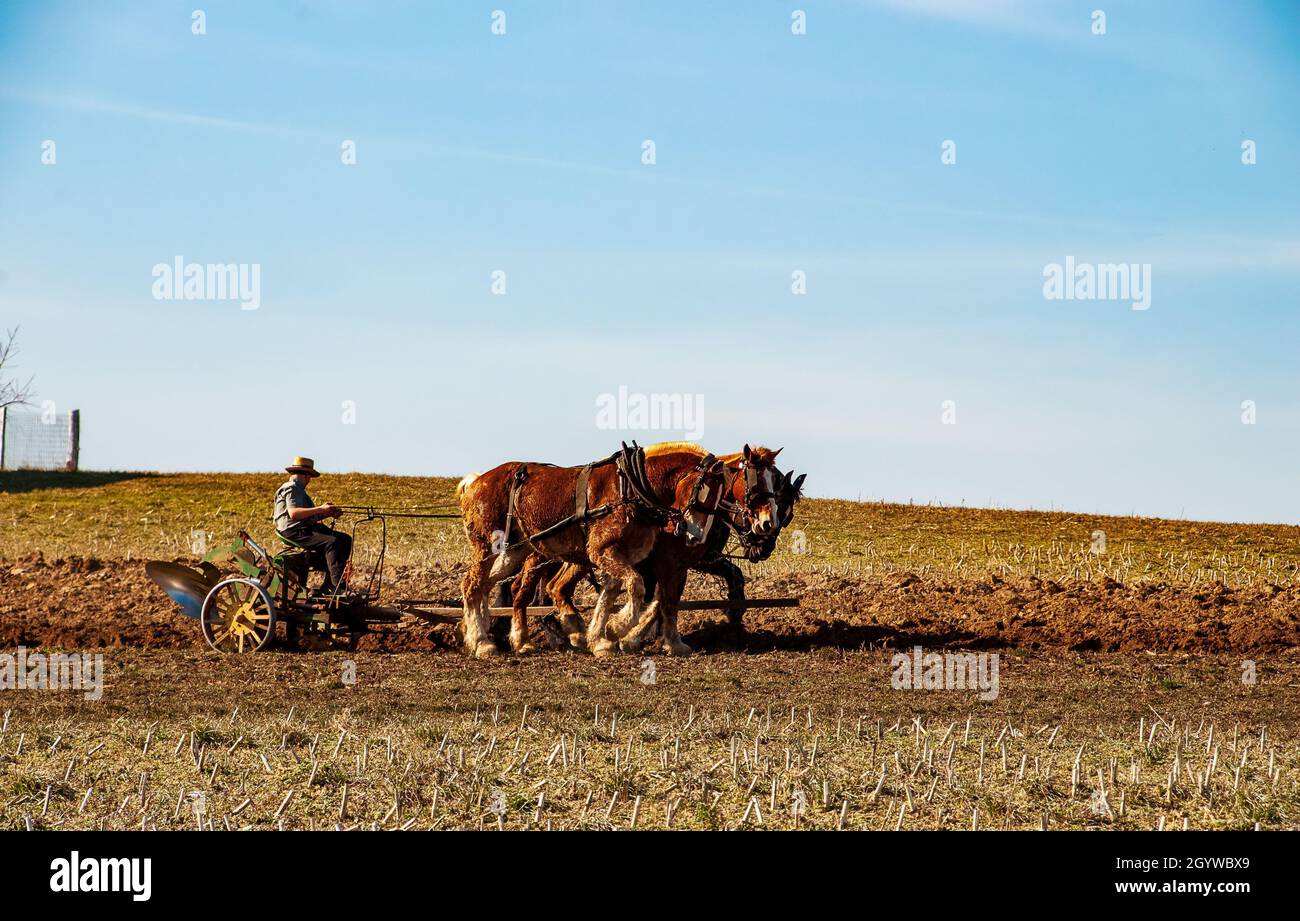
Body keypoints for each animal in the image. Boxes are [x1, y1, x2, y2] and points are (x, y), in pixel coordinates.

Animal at [456, 444, 729, 658]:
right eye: (703, 491)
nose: (696, 537)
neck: (629, 489)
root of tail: (475, 481)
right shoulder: (603, 551)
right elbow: (636, 585)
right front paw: (617, 628)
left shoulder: (622, 555)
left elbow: (610, 594)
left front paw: (600, 638)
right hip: (486, 547)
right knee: (471, 585)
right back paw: (481, 642)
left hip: (513, 551)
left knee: (485, 586)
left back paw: (501, 637)